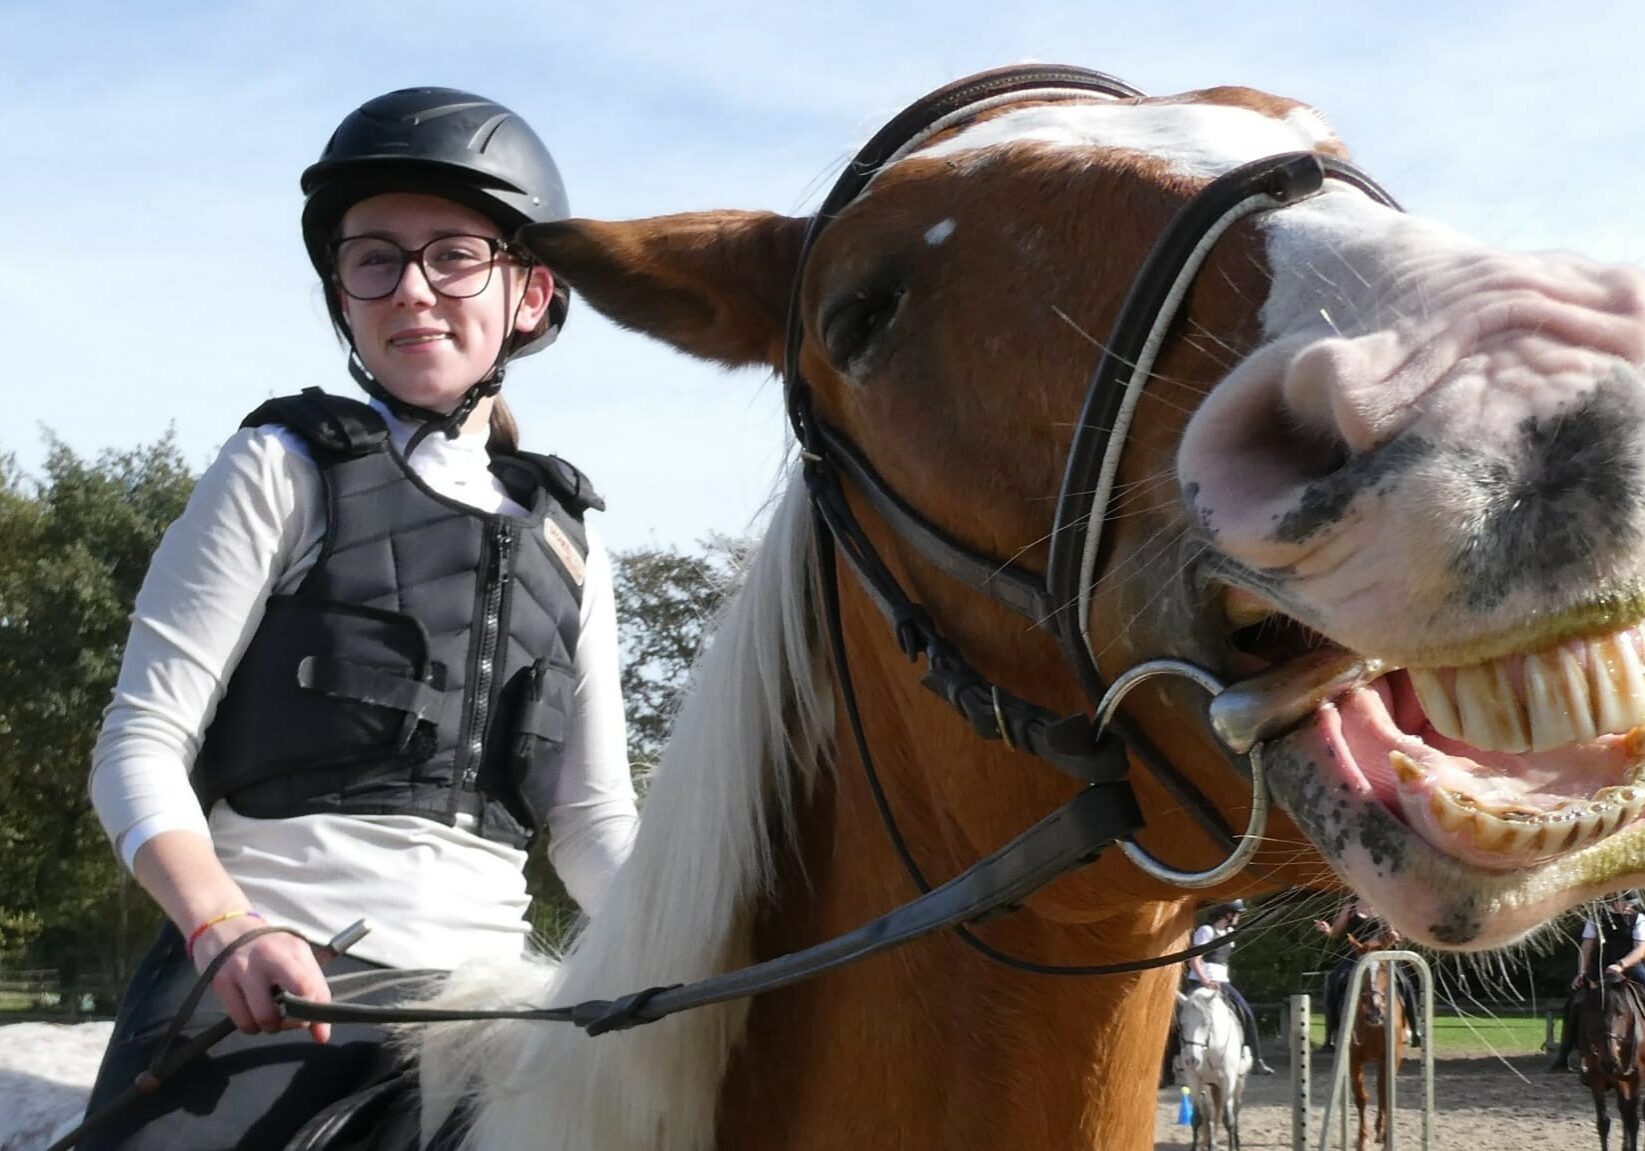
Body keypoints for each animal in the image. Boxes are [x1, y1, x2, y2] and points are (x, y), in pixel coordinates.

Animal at [1177, 986, 1250, 1151]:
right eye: (1182, 1024)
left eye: (1205, 1023)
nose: (1192, 1060)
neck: (1209, 1048)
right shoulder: (1195, 1081)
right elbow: (1198, 1118)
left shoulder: (1228, 1081)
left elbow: (1228, 1119)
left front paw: (1232, 1147)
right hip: (1213, 1085)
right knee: (1213, 1113)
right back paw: (1212, 1143)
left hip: (1238, 1082)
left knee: (1235, 1111)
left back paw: (1236, 1143)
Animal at [1579, 973, 1645, 1151]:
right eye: (1591, 1012)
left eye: (1620, 1013)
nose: (1609, 1062)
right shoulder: (1596, 1078)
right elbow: (1603, 1123)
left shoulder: (1637, 1078)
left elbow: (1633, 1121)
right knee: (1623, 1109)